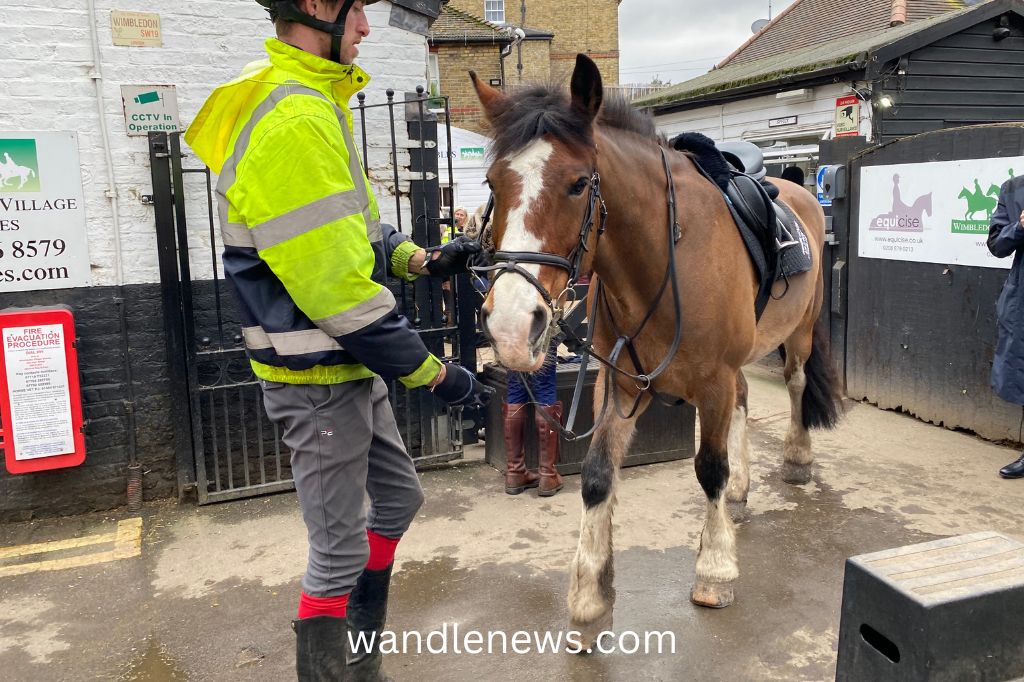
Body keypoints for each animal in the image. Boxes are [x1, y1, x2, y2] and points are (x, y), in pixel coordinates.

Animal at [471, 54, 839, 643]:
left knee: (797, 384)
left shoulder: (711, 379)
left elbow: (707, 468)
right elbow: (597, 476)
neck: (665, 259)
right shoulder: (618, 382)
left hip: (798, 334)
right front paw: (590, 597)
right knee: (745, 398)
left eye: (579, 183)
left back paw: (796, 458)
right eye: (492, 182)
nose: (509, 324)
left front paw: (715, 568)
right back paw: (742, 488)